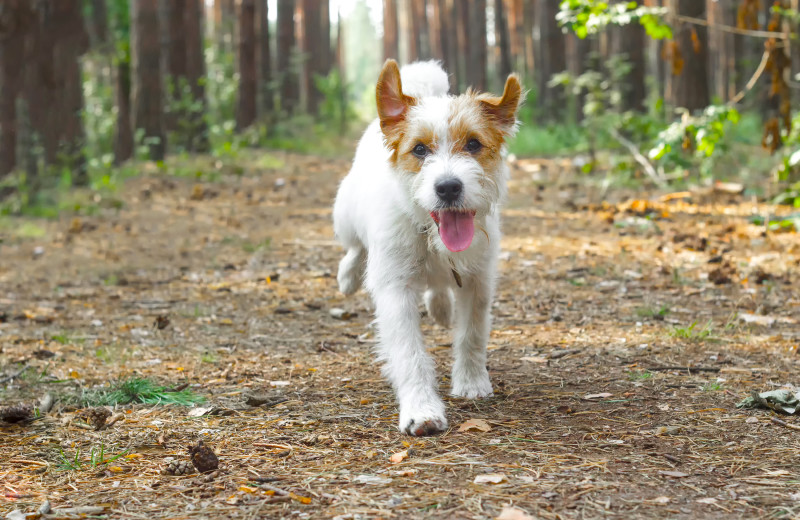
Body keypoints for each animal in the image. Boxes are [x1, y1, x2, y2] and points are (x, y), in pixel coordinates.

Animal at [332, 60, 524, 434]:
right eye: (419, 149)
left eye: (474, 144)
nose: (448, 187)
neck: (431, 235)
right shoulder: (396, 289)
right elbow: (410, 354)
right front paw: (421, 410)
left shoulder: (478, 281)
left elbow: (471, 335)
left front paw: (471, 382)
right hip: (345, 214)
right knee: (354, 247)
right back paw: (347, 276)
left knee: (438, 288)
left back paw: (440, 306)